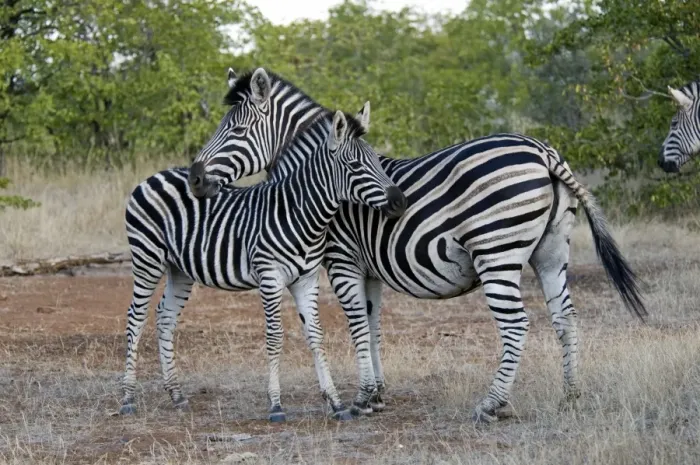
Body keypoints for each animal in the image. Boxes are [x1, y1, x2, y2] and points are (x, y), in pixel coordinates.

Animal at [120, 103, 407, 422]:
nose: (400, 202)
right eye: (356, 166)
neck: (300, 214)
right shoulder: (270, 277)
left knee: (165, 316)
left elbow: (316, 336)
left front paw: (335, 402)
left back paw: (177, 395)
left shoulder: (306, 279)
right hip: (147, 258)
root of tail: (152, 177)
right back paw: (128, 398)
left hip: (179, 269)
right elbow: (274, 337)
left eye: (378, 162)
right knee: (136, 317)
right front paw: (276, 404)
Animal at [191, 68, 647, 423]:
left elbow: (356, 324)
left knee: (517, 324)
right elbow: (372, 324)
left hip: (496, 252)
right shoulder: (369, 269)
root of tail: (544, 152)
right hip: (552, 253)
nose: (194, 178)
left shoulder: (341, 260)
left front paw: (361, 399)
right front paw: (377, 395)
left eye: (235, 130)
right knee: (565, 319)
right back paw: (571, 397)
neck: (319, 180)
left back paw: (491, 405)